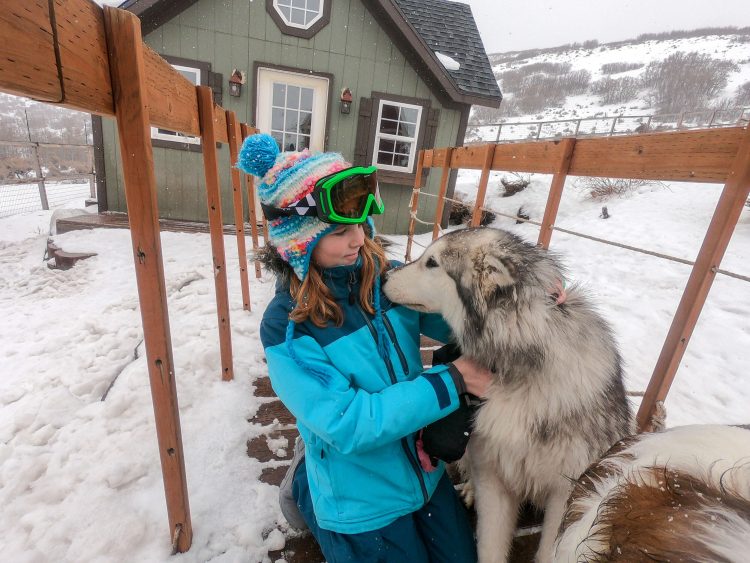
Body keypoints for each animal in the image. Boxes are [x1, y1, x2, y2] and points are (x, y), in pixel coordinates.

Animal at [382, 228, 636, 563]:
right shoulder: (494, 476)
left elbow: (549, 552)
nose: (384, 275)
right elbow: (490, 546)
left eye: (432, 263)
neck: (519, 366)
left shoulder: (565, 491)